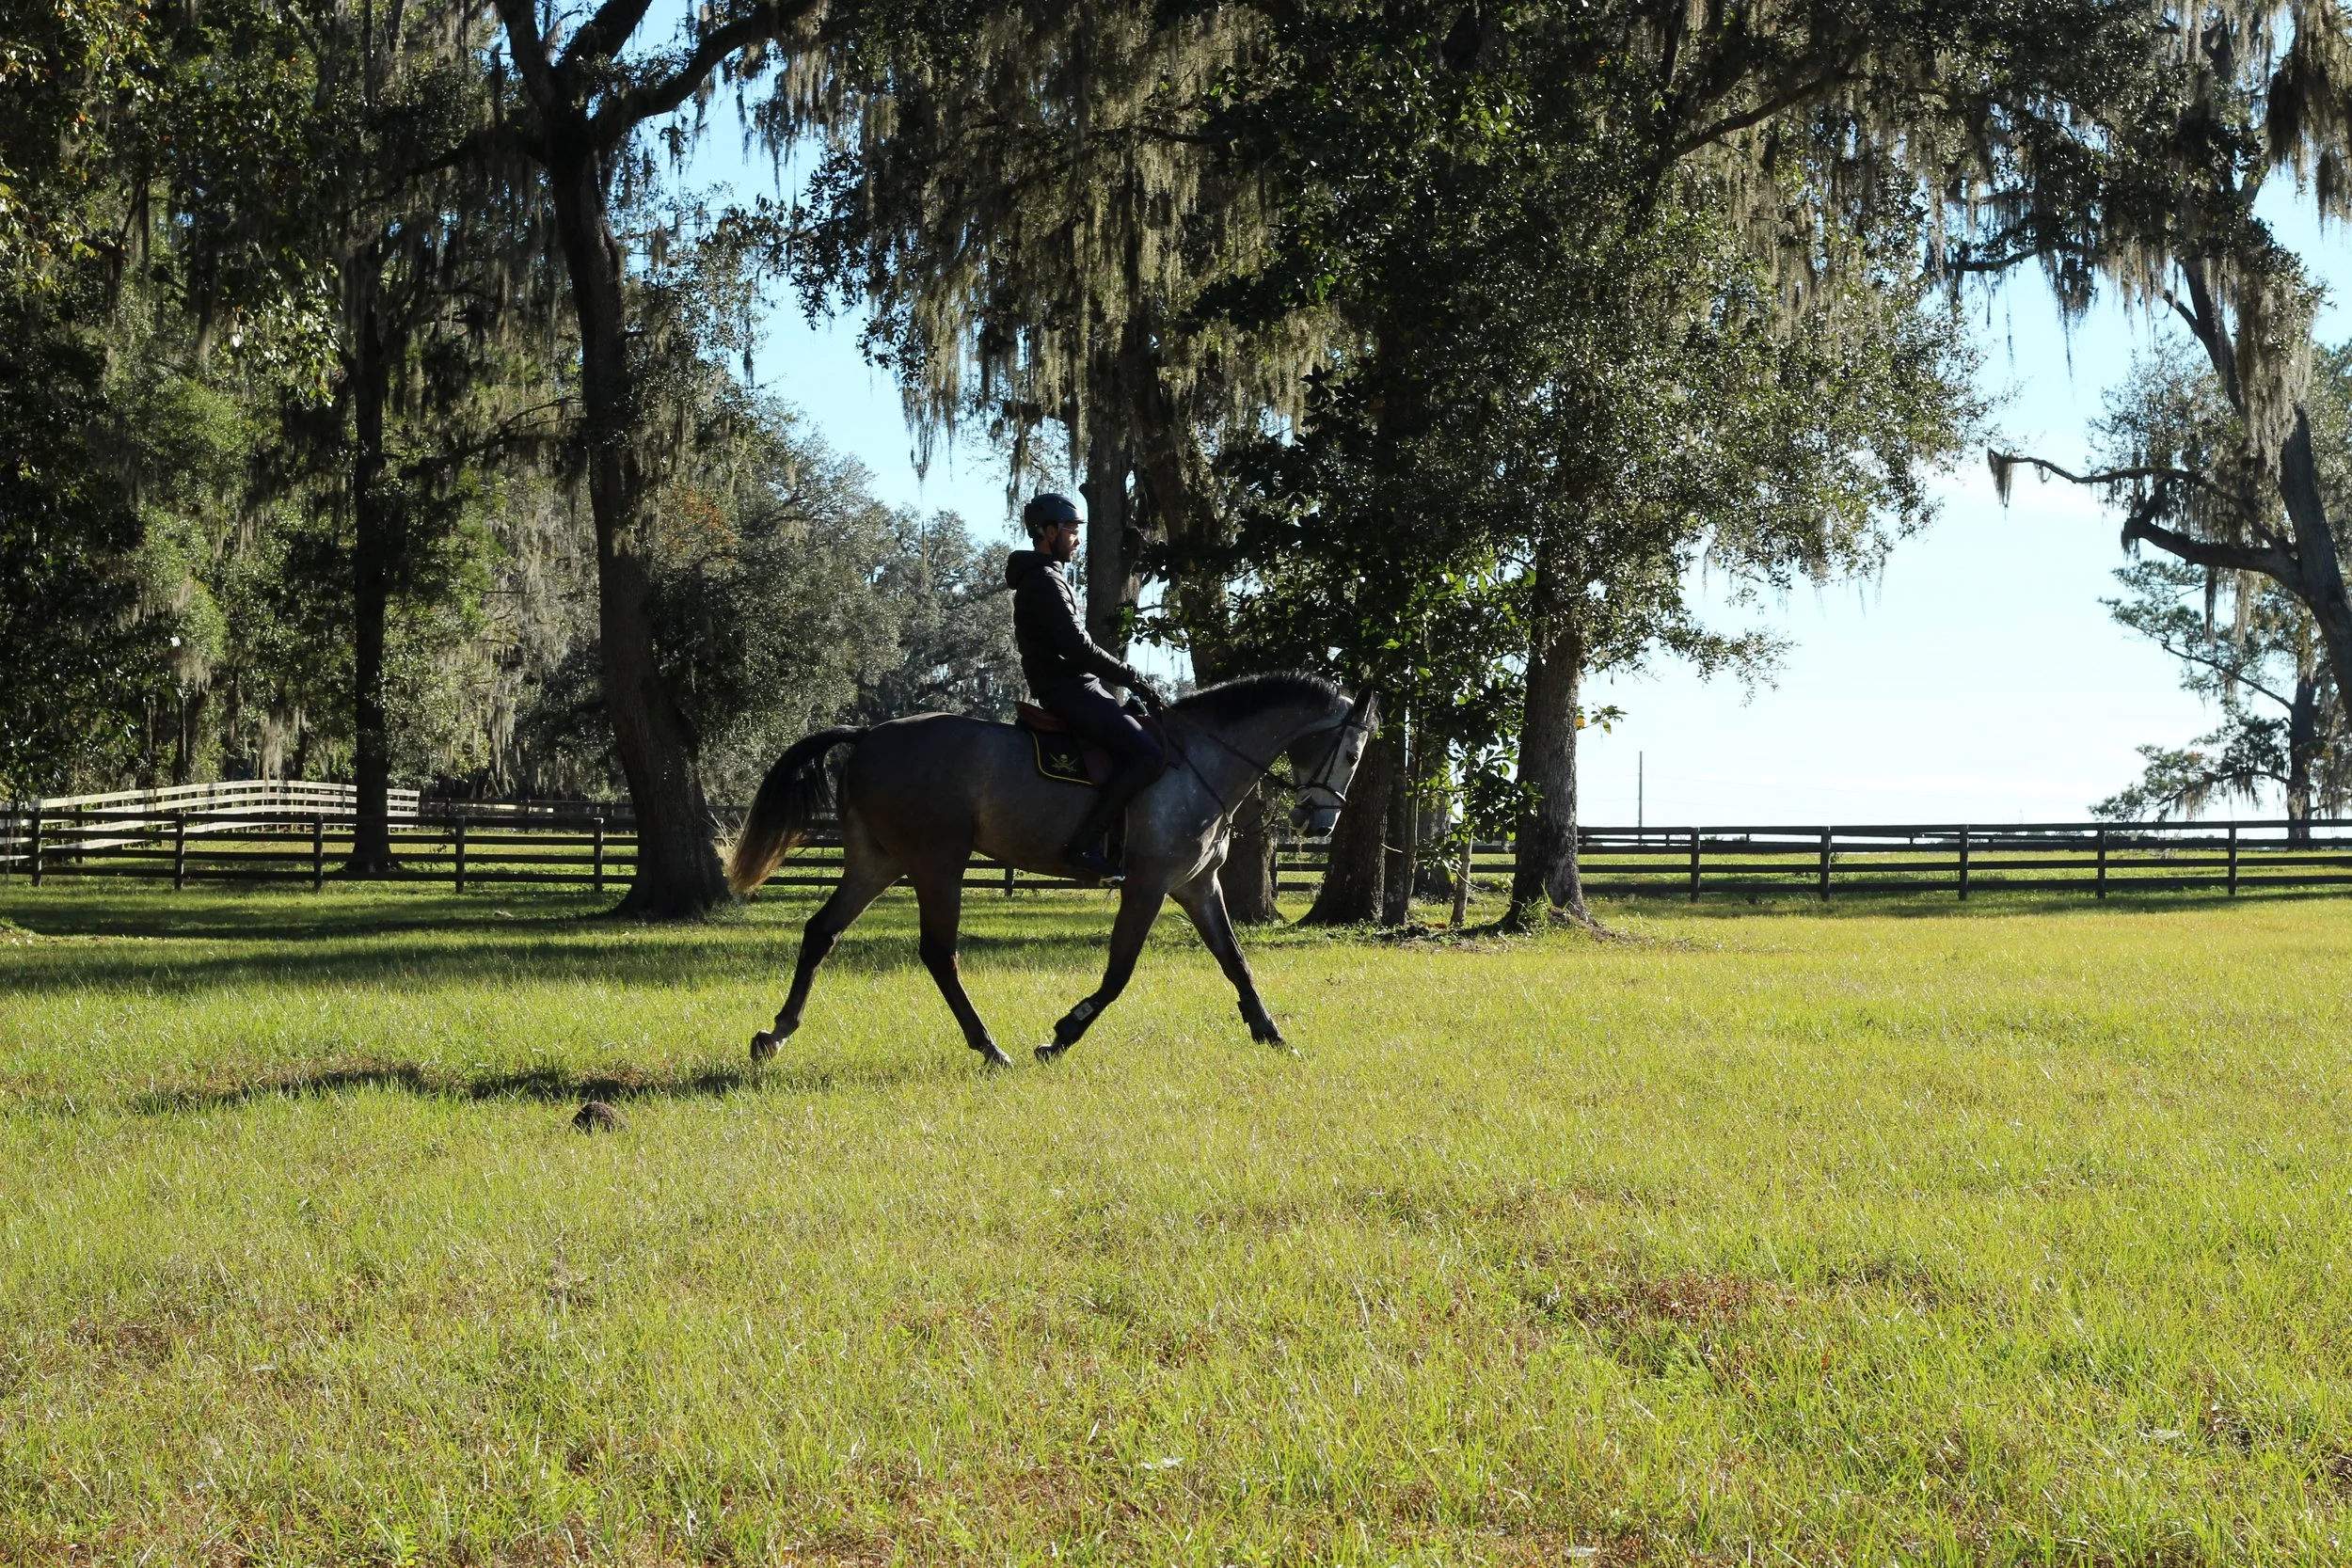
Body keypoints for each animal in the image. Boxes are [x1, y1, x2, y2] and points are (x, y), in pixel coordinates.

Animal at [724, 672, 1377, 1066]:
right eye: (1351, 751)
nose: (1319, 821)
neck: (1198, 761)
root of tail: (868, 735)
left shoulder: (1197, 885)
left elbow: (1236, 962)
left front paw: (1271, 1034)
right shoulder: (1149, 885)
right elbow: (1119, 973)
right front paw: (1063, 1033)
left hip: (876, 861)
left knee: (822, 932)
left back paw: (775, 1033)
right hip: (938, 864)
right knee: (939, 954)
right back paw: (988, 1047)